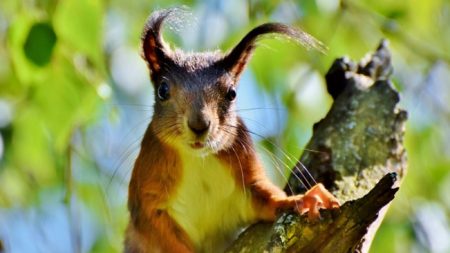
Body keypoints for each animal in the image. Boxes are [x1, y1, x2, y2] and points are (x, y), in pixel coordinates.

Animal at [125, 7, 340, 253]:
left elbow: (266, 198)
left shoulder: (246, 177)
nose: (199, 125)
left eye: (232, 93)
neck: (199, 158)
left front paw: (303, 199)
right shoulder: (148, 195)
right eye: (162, 90)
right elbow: (156, 228)